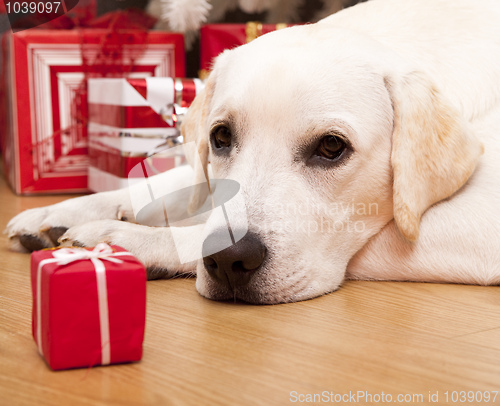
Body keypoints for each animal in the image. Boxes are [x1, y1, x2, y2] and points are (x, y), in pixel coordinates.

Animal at [4, 0, 500, 302]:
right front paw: (66, 210)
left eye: (332, 147)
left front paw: (126, 238)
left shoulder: (479, 223)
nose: (229, 259)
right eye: (221, 137)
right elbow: (171, 182)